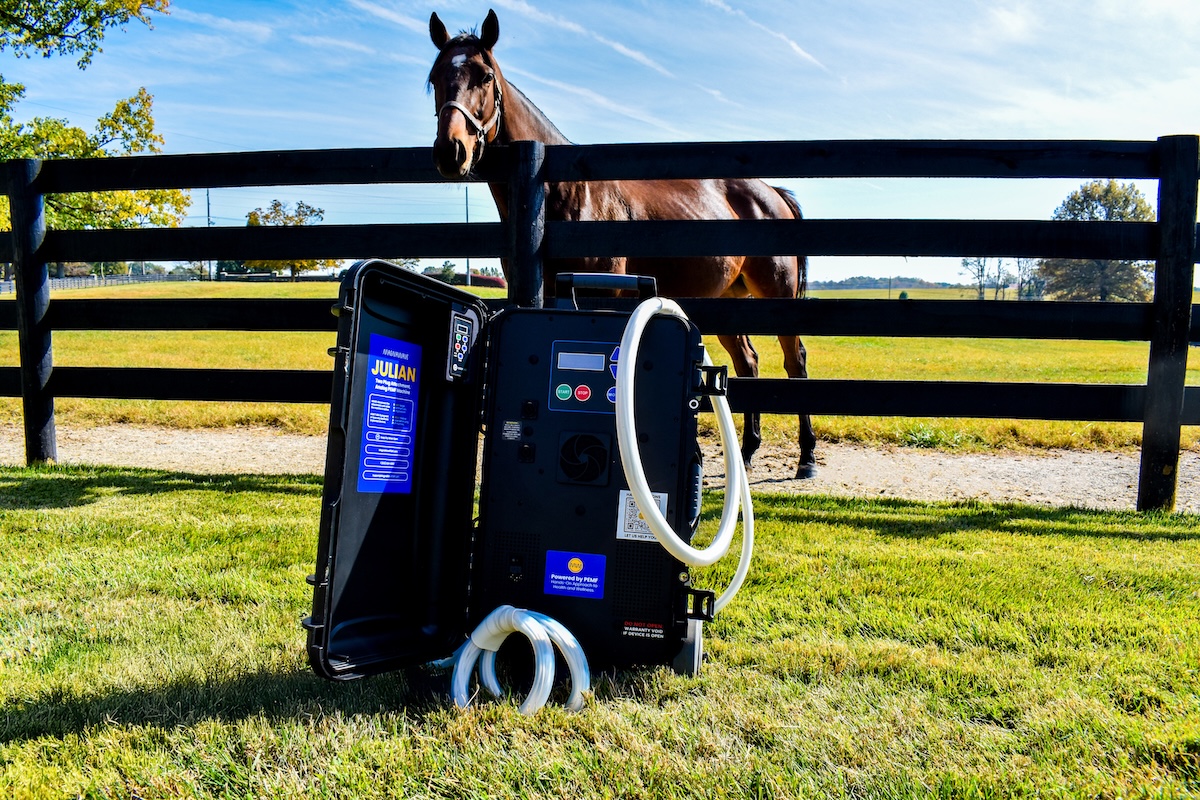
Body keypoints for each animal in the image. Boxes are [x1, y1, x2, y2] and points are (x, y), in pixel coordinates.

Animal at [428, 9, 817, 479]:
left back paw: (807, 457)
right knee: (748, 362)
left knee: (795, 362)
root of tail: (772, 192)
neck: (559, 194)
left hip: (778, 295)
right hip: (729, 300)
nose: (451, 151)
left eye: (484, 76)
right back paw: (745, 452)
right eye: (435, 78)